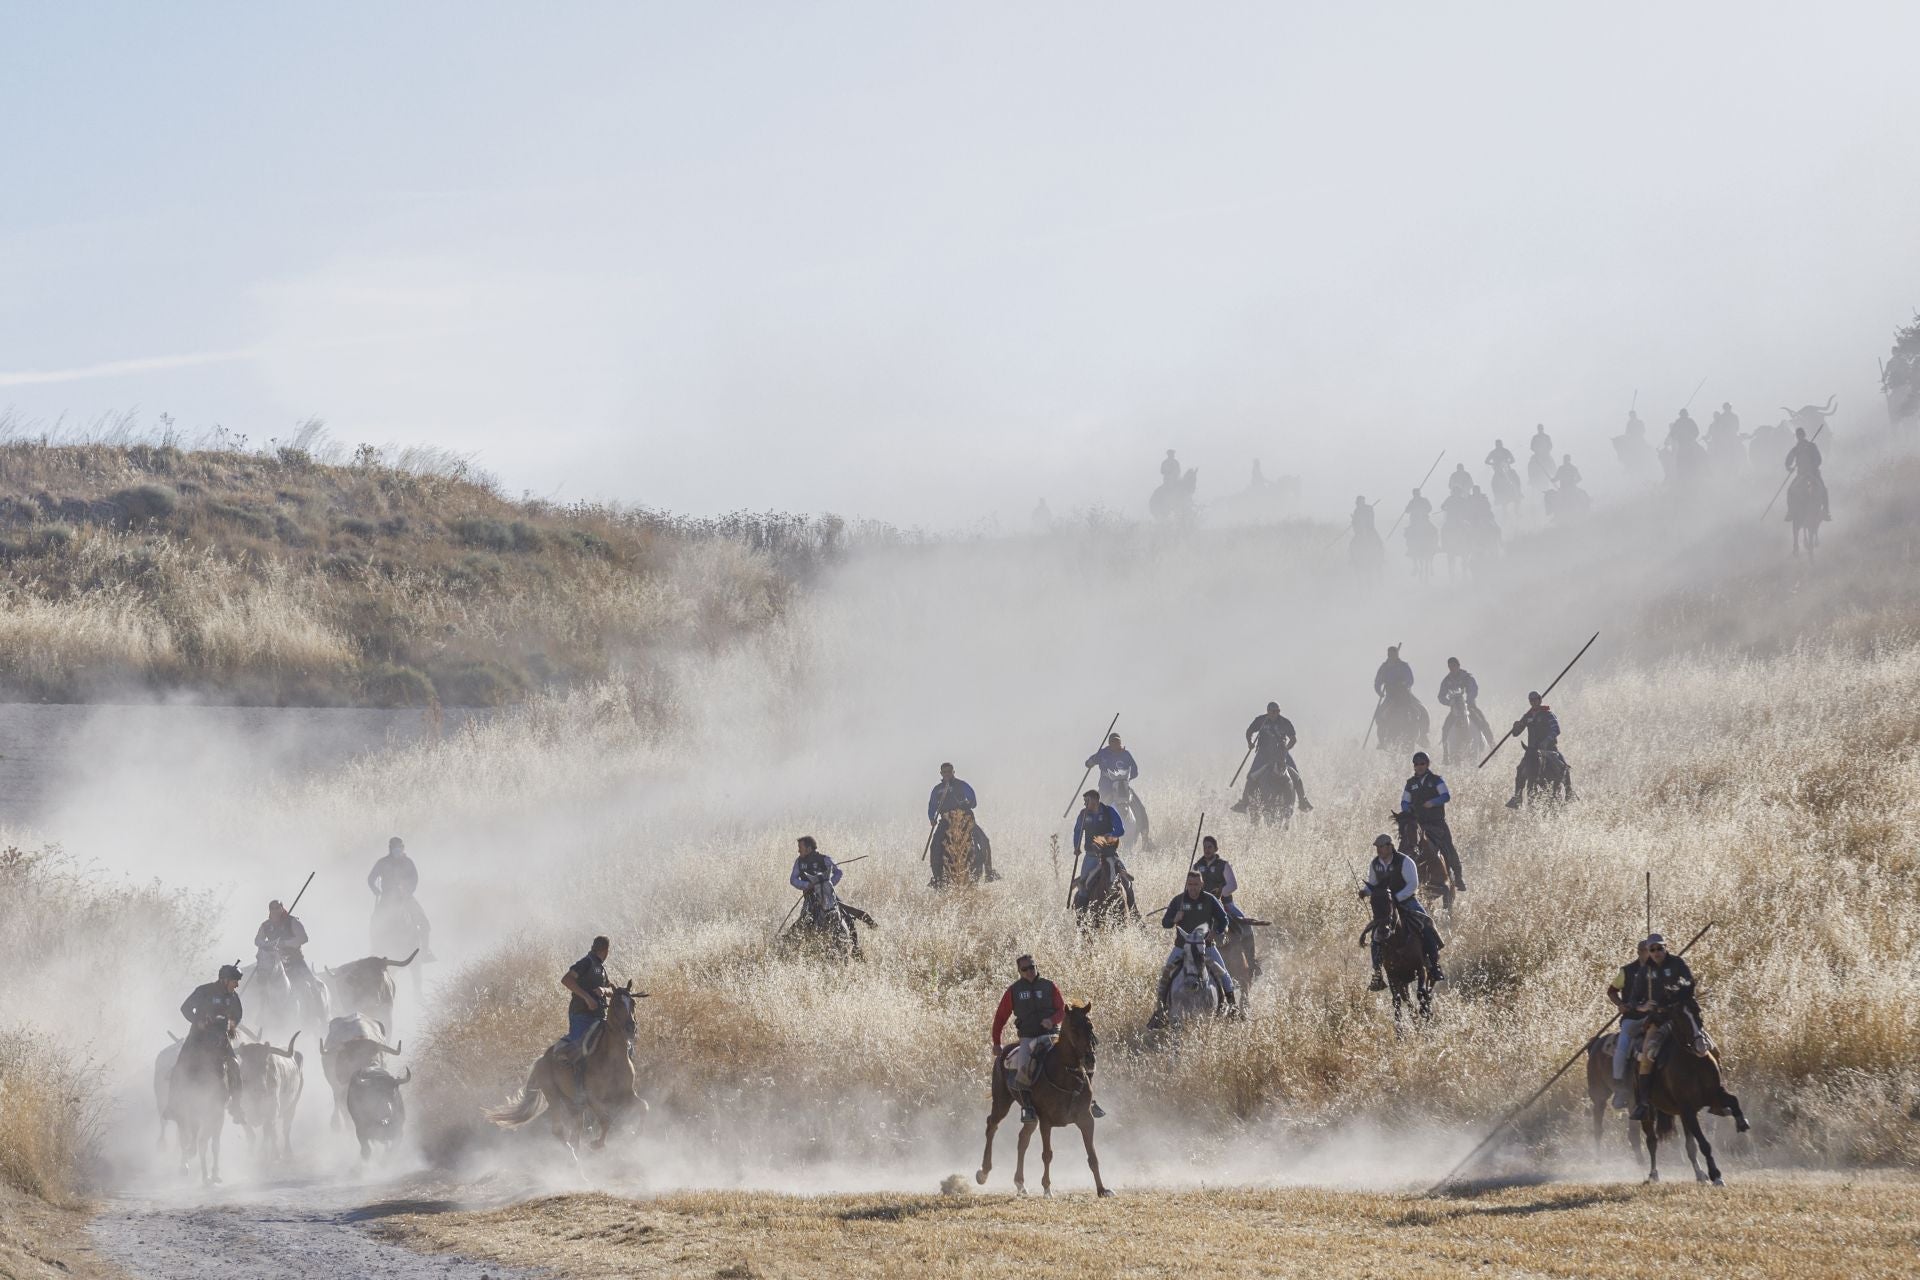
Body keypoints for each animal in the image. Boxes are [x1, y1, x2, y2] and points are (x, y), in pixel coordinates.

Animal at [487, 990, 652, 1159]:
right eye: (617, 1004)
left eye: (633, 1003)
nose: (631, 1028)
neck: (612, 1059)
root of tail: (541, 1060)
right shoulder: (593, 1098)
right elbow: (606, 1119)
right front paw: (597, 1144)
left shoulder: (626, 1094)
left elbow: (644, 1107)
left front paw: (635, 1135)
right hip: (553, 1096)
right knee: (559, 1130)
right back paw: (572, 1157)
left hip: (572, 1103)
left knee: (576, 1129)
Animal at [975, 997, 1113, 1205]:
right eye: (1074, 1027)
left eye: (1090, 1025)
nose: (1090, 1059)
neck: (1066, 1075)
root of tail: (1004, 1051)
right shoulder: (1046, 1122)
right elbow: (1047, 1154)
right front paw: (1047, 1188)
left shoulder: (1086, 1120)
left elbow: (1092, 1156)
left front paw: (1102, 1189)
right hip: (1002, 1102)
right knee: (992, 1125)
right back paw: (984, 1172)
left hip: (1031, 1116)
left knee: (1022, 1139)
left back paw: (1020, 1184)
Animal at [1635, 1005, 1743, 1189]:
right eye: (1680, 1018)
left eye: (1698, 1013)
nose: (1701, 1046)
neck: (1692, 1061)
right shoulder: (1688, 1108)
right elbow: (1704, 1144)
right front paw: (1716, 1175)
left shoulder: (1713, 1095)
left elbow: (1734, 1100)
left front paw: (1742, 1122)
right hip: (1649, 1110)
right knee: (1652, 1141)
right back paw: (1653, 1174)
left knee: (1689, 1146)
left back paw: (1699, 1174)